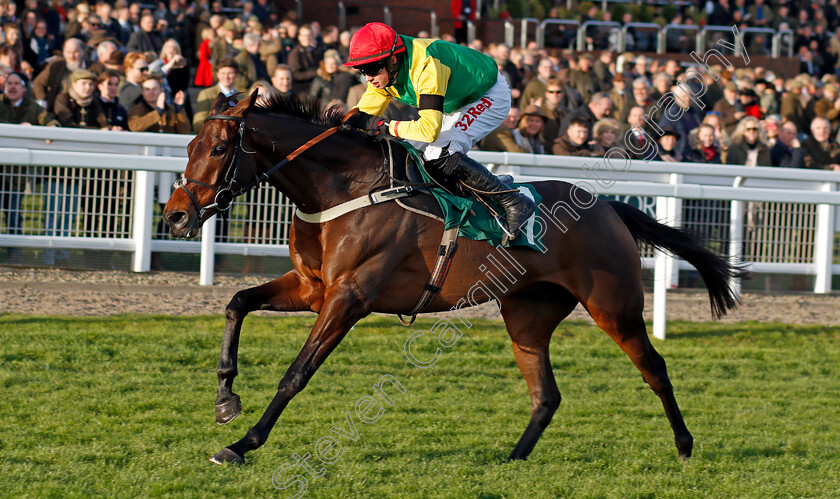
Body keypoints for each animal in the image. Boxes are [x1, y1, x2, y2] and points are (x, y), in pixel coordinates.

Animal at [164, 92, 748, 466]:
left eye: (218, 149)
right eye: (188, 146)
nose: (175, 216)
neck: (344, 189)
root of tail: (607, 207)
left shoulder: (349, 297)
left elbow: (296, 373)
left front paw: (243, 444)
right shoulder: (312, 289)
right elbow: (237, 302)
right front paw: (225, 399)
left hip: (614, 305)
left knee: (654, 368)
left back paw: (685, 446)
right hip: (527, 313)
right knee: (546, 395)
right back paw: (511, 458)